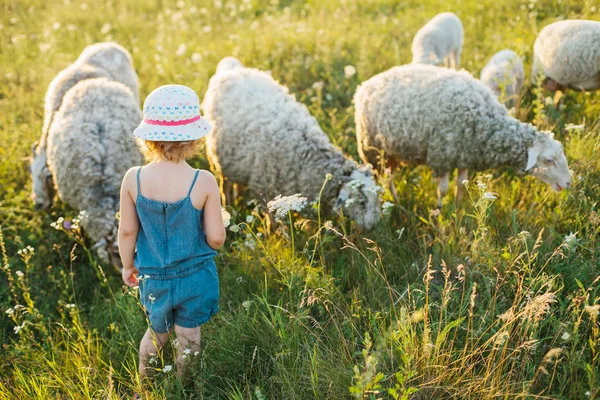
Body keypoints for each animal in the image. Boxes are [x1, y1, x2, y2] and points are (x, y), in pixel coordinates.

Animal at [202, 57, 380, 230]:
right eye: (362, 202)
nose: (373, 227)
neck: (304, 157)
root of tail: (232, 69)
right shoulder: (265, 191)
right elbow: (272, 224)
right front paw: (275, 236)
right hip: (219, 157)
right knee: (224, 184)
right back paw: (228, 205)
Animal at [354, 64, 576, 208]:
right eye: (548, 160)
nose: (568, 183)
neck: (482, 122)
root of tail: (364, 86)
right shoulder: (441, 156)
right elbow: (443, 190)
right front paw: (440, 212)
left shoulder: (465, 156)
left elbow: (461, 186)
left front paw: (458, 209)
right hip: (372, 149)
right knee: (384, 179)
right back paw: (395, 203)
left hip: (390, 152)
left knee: (389, 176)